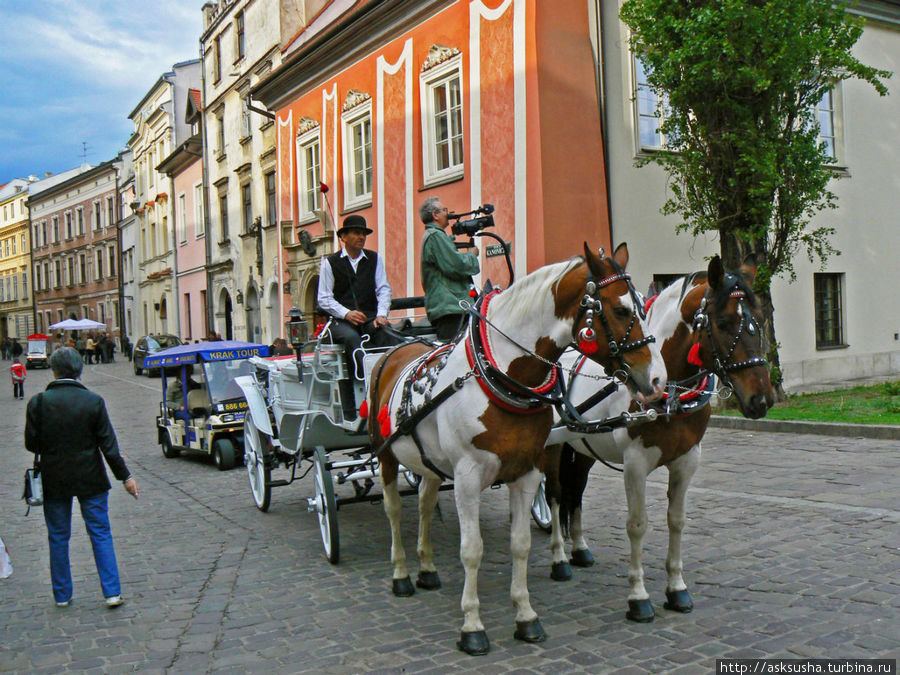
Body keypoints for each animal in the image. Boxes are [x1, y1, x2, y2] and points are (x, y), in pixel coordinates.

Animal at [368, 244, 668, 656]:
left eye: (643, 303)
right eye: (621, 310)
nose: (658, 379)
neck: (503, 377)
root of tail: (396, 350)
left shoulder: (527, 471)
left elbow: (521, 544)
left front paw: (526, 617)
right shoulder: (466, 477)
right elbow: (472, 549)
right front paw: (472, 626)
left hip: (429, 462)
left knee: (426, 502)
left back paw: (427, 569)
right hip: (385, 455)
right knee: (394, 510)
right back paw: (401, 574)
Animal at [540, 258, 772, 624]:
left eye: (759, 320)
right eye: (723, 323)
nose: (761, 399)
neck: (668, 389)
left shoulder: (687, 459)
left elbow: (676, 521)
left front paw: (677, 590)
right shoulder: (635, 463)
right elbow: (637, 525)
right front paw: (639, 597)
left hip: (583, 446)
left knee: (575, 492)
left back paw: (580, 549)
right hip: (552, 446)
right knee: (556, 494)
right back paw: (560, 559)